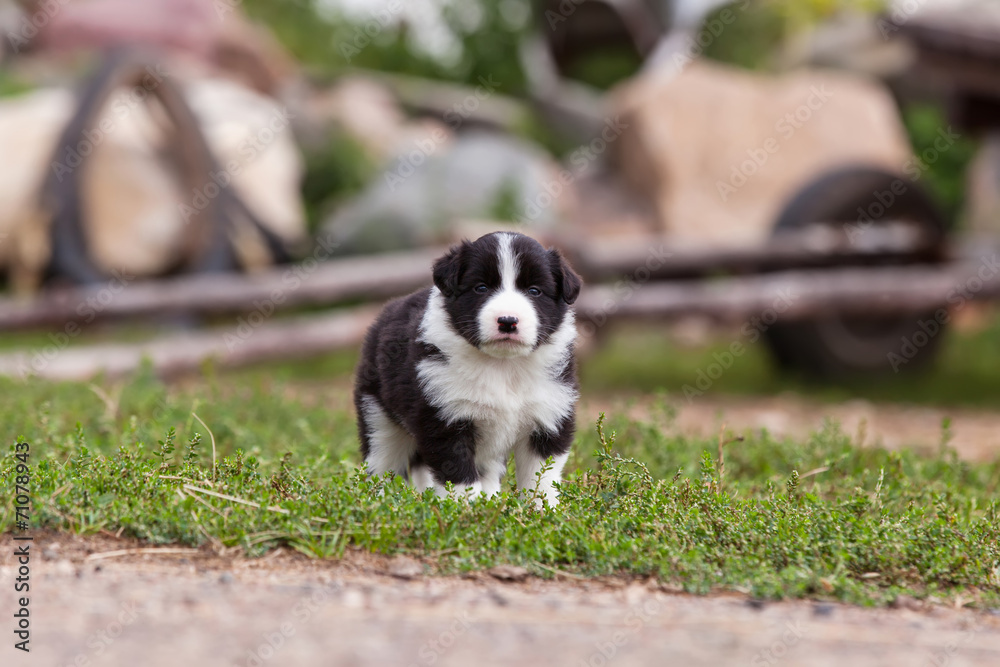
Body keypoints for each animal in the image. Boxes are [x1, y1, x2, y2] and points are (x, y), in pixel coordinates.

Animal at [356, 232, 584, 504]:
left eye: (534, 291)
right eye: (481, 288)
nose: (508, 321)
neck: (502, 365)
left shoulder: (549, 416)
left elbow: (541, 478)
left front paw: (541, 510)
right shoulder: (445, 419)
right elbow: (460, 477)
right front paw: (467, 509)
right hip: (378, 415)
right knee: (381, 462)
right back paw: (377, 503)